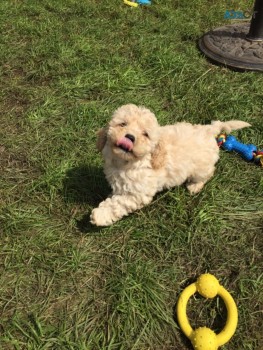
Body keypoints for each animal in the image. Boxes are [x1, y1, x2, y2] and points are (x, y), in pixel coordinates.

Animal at [91, 103, 252, 227]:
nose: (129, 137)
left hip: (201, 167)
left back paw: (195, 185)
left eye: (145, 134)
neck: (126, 162)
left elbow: (118, 203)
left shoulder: (138, 193)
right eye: (123, 124)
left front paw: (100, 215)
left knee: (207, 173)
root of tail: (209, 130)